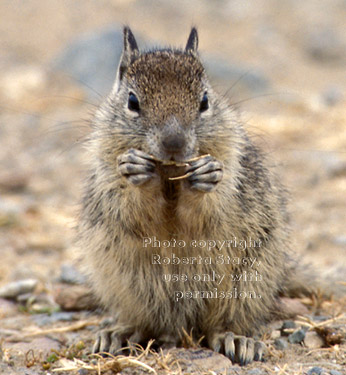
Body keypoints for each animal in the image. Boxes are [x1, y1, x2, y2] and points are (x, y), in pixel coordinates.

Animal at [75, 27, 310, 368]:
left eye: (205, 101)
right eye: (132, 101)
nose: (174, 142)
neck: (169, 173)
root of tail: (180, 326)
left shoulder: (230, 171)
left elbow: (207, 210)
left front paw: (206, 176)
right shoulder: (108, 176)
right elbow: (134, 209)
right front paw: (135, 171)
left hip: (244, 286)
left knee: (217, 326)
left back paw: (236, 340)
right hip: (126, 286)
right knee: (146, 323)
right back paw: (117, 333)